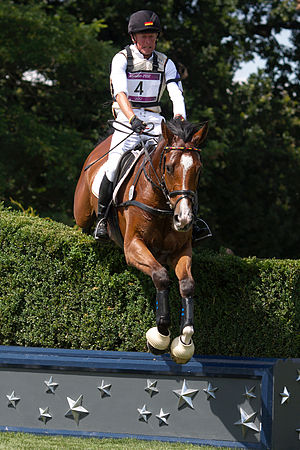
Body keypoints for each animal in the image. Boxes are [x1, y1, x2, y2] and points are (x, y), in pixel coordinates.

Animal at [73, 118, 209, 364]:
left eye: (198, 170)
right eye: (169, 167)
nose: (184, 218)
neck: (163, 204)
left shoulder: (181, 250)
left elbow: (187, 284)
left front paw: (184, 341)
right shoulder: (133, 246)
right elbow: (161, 276)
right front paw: (160, 336)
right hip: (82, 213)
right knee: (82, 223)